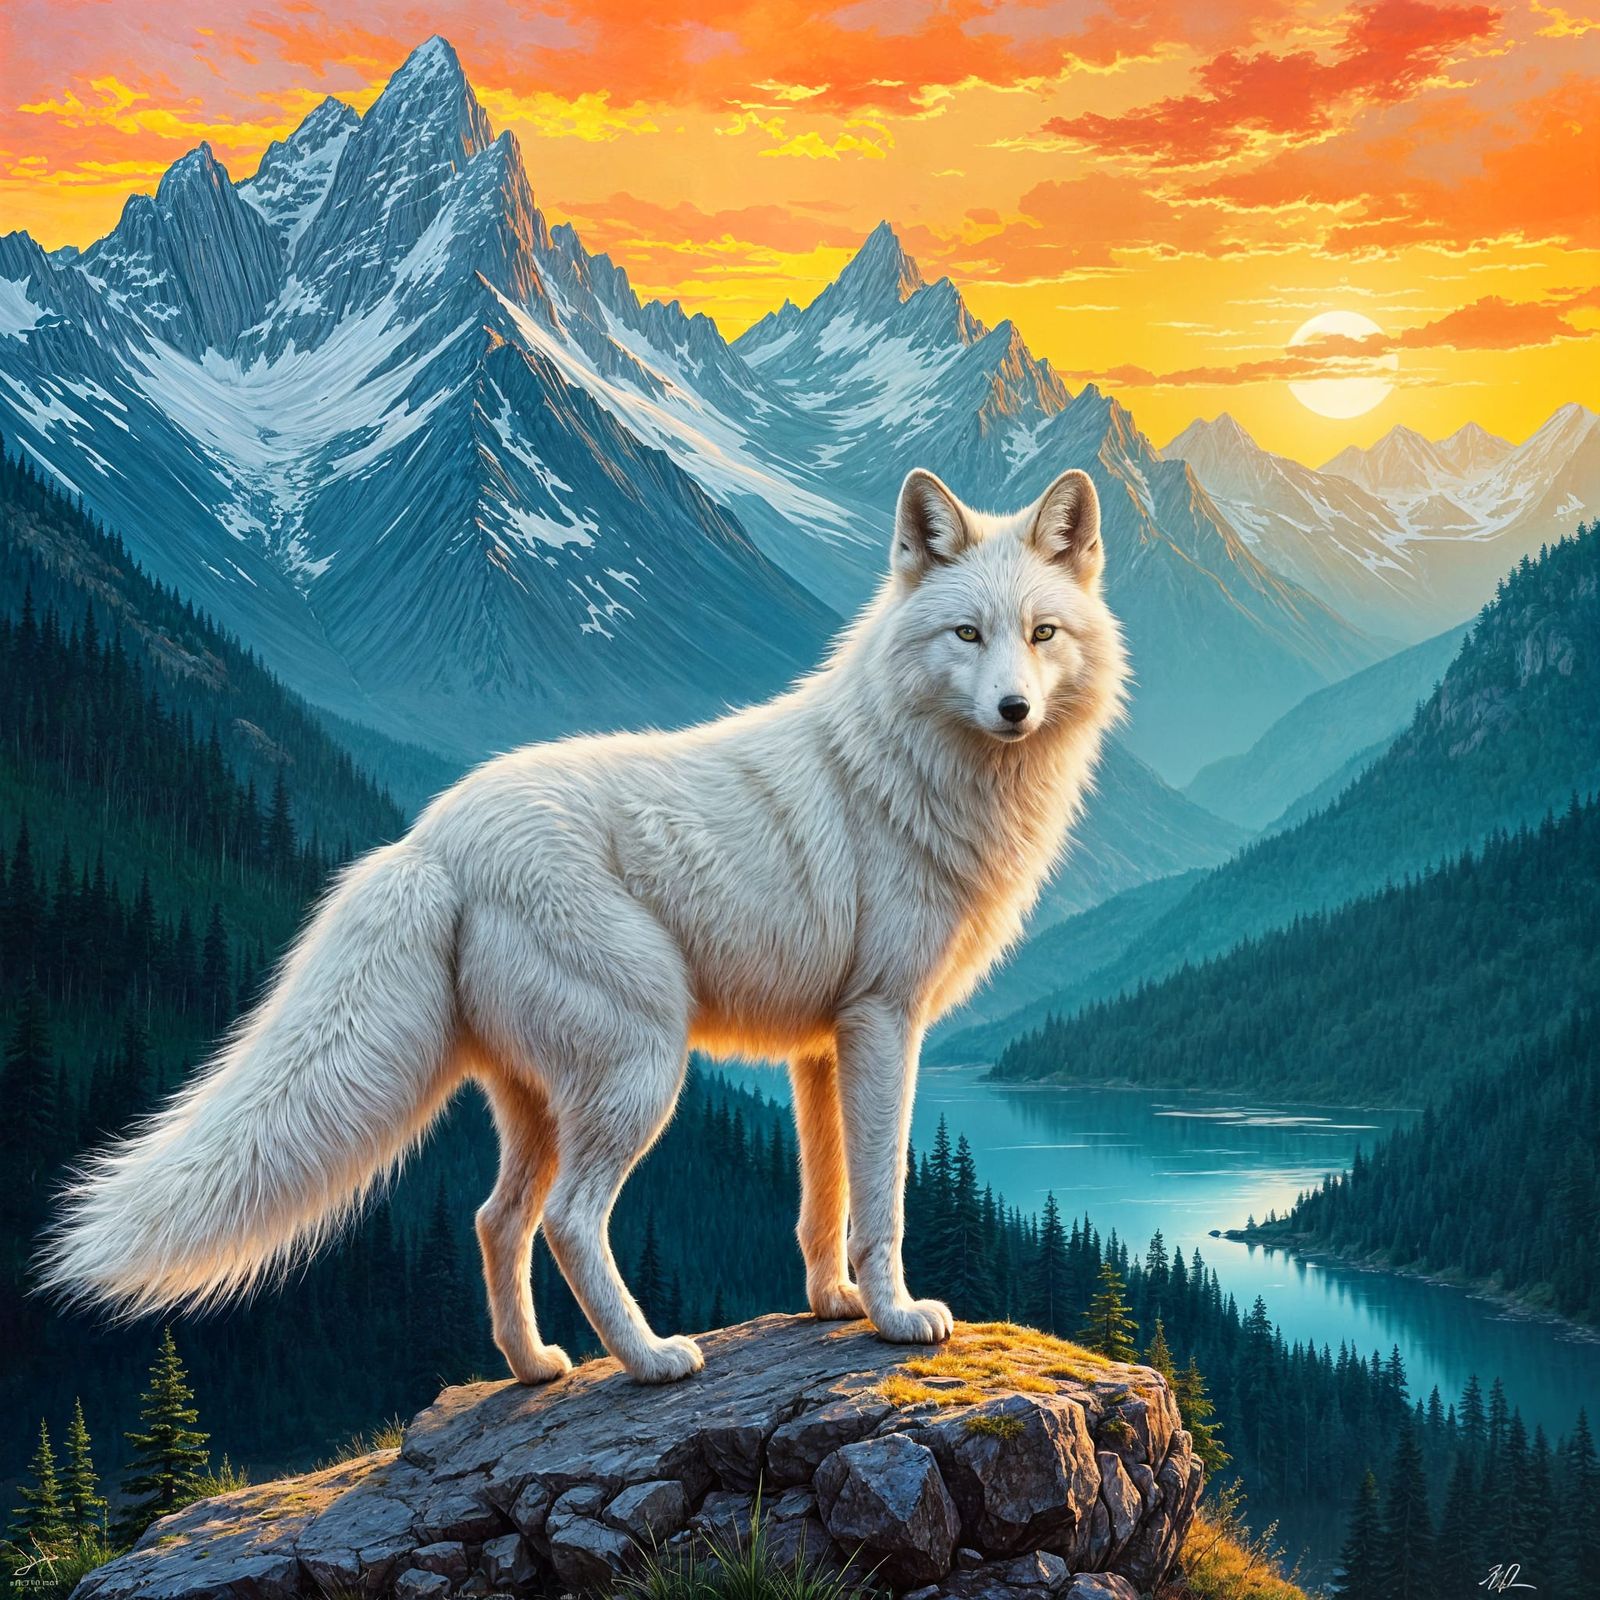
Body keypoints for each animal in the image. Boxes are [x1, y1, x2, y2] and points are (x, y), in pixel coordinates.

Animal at [41, 465, 1127, 1386]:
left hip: (541, 1101)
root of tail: (432, 838)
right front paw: (896, 1314)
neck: (914, 769)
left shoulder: (823, 1047)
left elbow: (822, 1204)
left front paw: (832, 1304)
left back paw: (533, 1367)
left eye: (1040, 633)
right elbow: (880, 1197)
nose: (1014, 708)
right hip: (642, 1069)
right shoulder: (883, 1024)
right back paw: (648, 1359)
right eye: (965, 635)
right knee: (566, 1220)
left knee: (494, 1218)